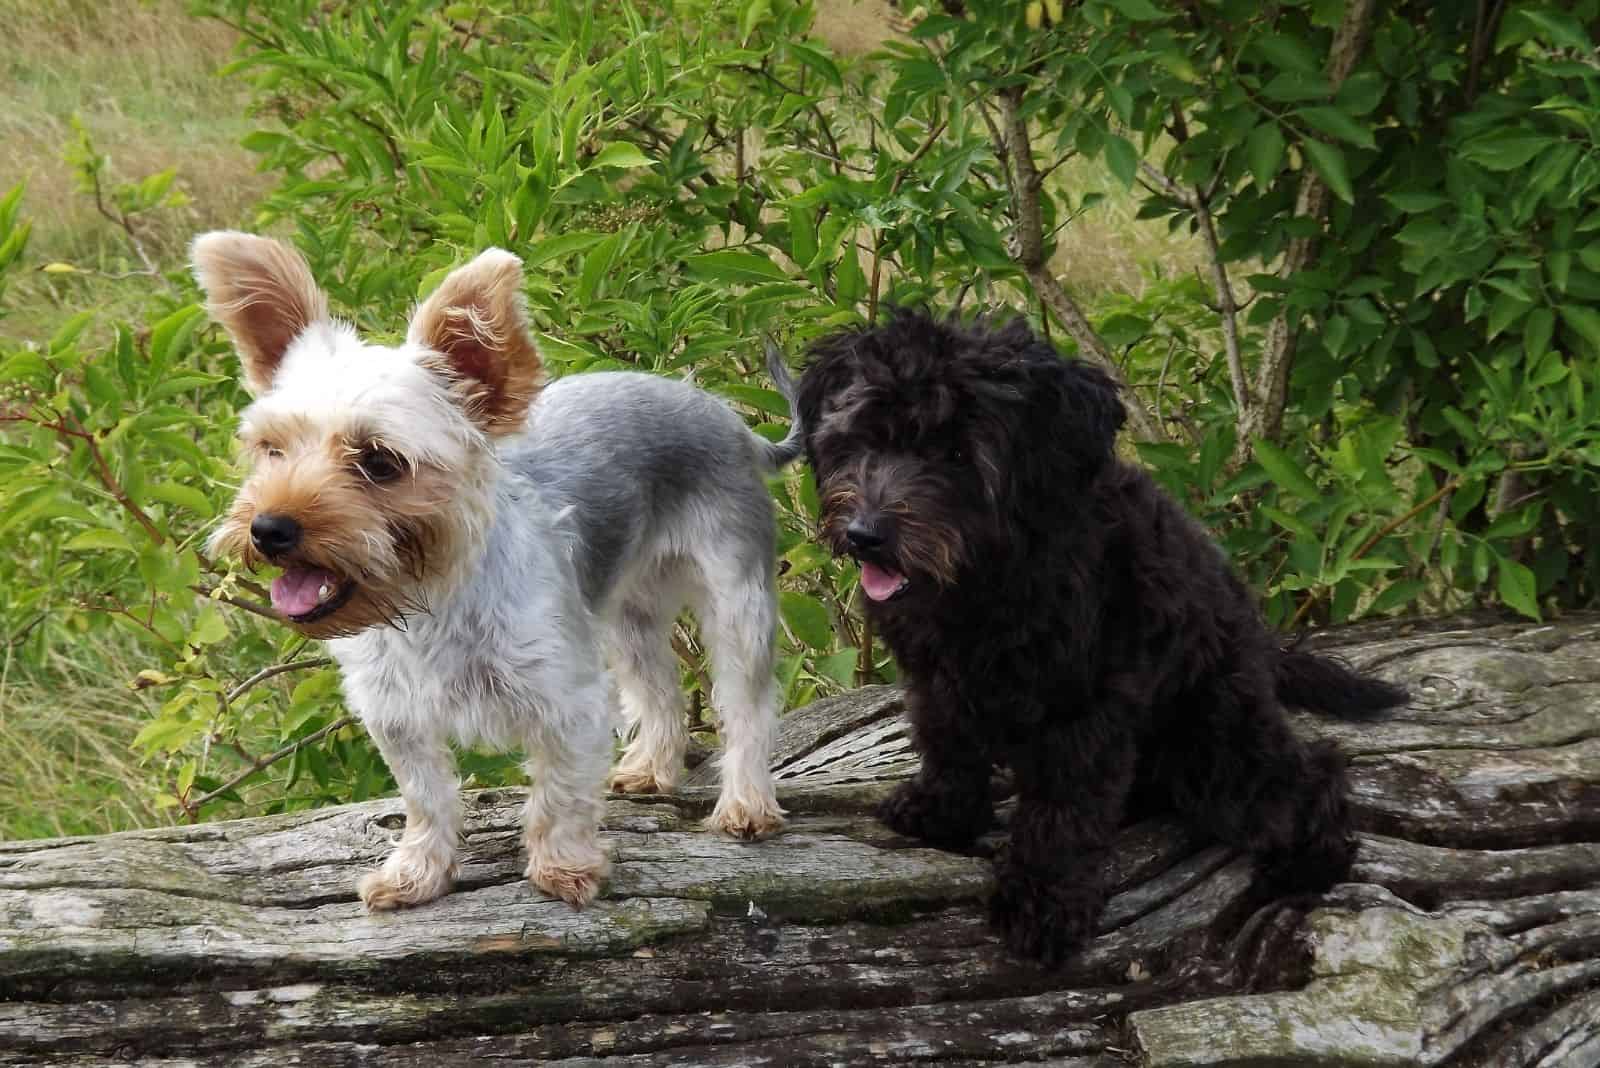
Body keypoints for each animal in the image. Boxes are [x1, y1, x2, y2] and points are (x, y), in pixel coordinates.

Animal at [793, 310, 1408, 965]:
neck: (992, 578)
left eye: (958, 453)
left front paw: (1043, 900)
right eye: (864, 439)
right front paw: (942, 810)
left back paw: (1309, 865)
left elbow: (1062, 812)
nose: (866, 534)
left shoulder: (1082, 710)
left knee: (1309, 776)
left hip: (1215, 743)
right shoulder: (938, 684)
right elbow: (949, 744)